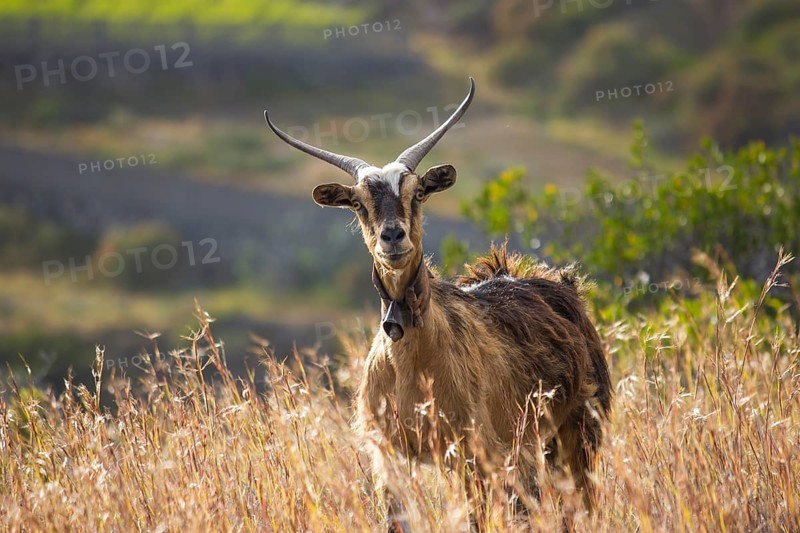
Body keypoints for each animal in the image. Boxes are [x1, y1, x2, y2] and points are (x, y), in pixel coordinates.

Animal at [264, 78, 612, 529]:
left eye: (417, 194)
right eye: (357, 203)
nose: (392, 236)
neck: (412, 362)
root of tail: (562, 287)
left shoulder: (473, 451)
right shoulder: (388, 456)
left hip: (578, 431)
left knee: (580, 503)